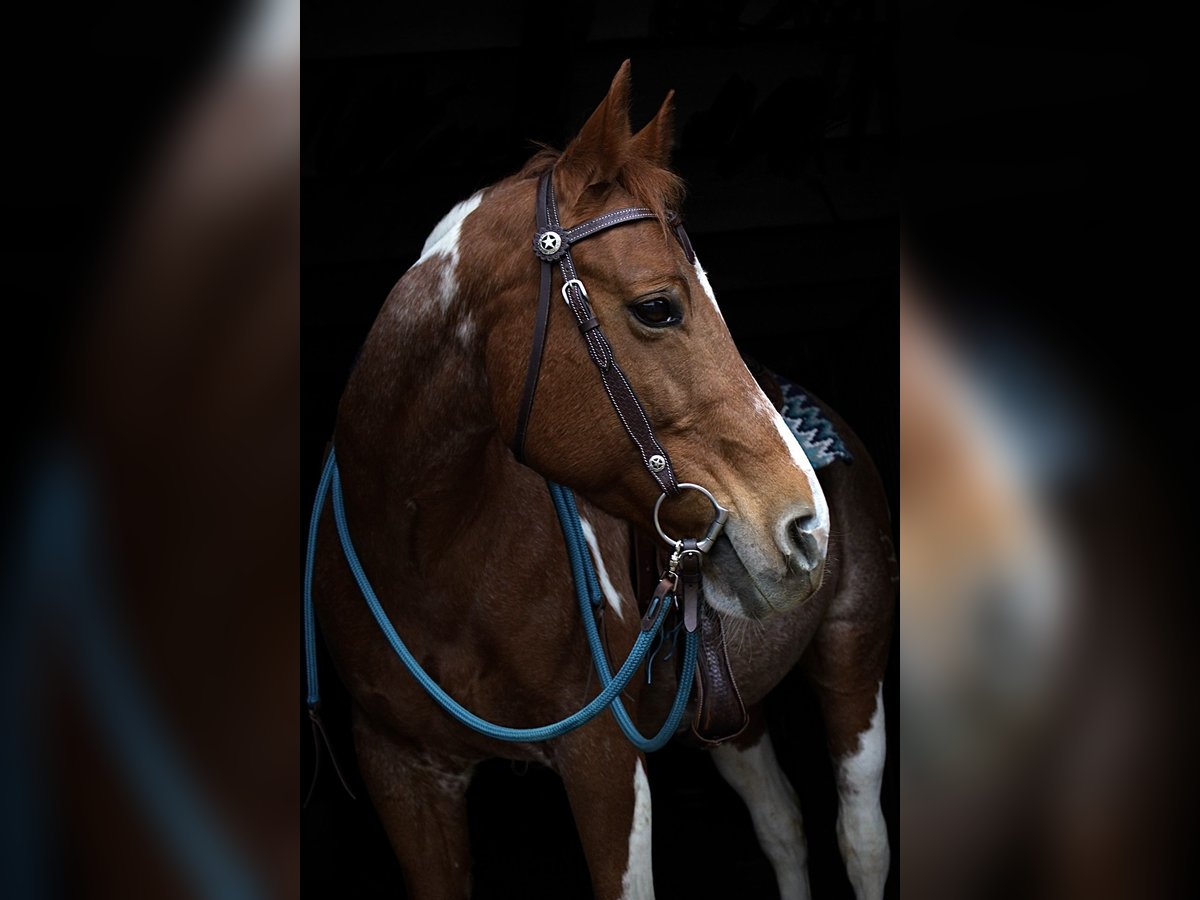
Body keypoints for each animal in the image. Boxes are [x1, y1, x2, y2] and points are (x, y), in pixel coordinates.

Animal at [314, 60, 897, 897]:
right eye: (657, 307)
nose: (803, 525)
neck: (431, 557)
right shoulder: (403, 774)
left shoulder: (604, 765)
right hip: (731, 711)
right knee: (782, 824)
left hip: (854, 656)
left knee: (861, 838)